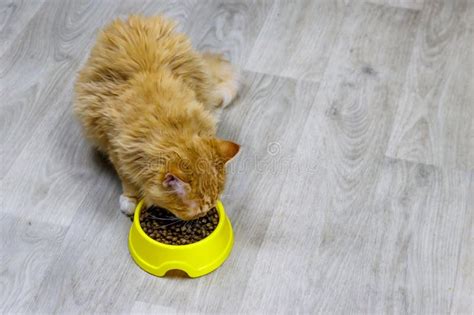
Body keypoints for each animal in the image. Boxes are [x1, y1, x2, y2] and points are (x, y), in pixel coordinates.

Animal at [74, 16, 241, 221]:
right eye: (199, 211)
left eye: (212, 205)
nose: (205, 215)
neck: (170, 126)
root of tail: (132, 19)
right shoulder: (115, 146)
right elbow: (127, 178)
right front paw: (130, 199)